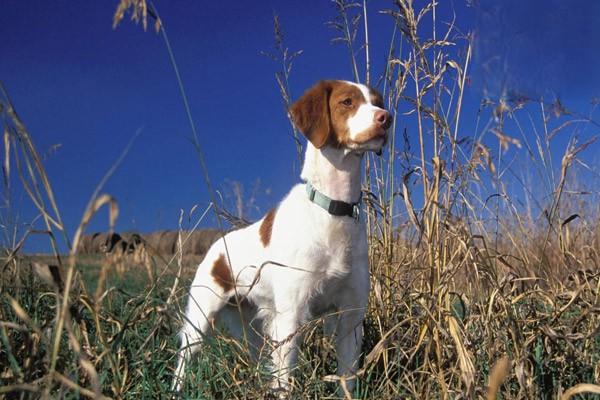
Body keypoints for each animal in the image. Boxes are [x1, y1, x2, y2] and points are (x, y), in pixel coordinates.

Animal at [171, 79, 392, 396]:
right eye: (347, 102)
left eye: (377, 102)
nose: (386, 118)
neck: (332, 210)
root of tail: (215, 247)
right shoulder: (290, 315)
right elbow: (285, 380)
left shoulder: (351, 315)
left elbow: (347, 378)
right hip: (201, 317)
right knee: (184, 358)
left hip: (252, 325)